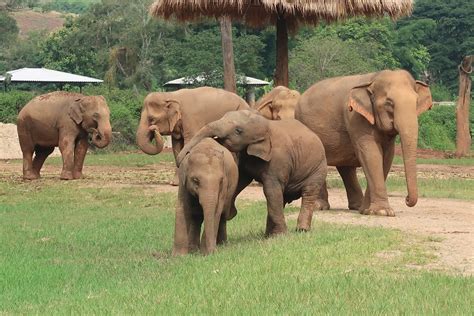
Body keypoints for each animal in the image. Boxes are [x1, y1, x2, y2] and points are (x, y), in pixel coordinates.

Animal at [176, 110, 328, 236]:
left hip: (318, 169)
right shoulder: (245, 155)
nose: (179, 161)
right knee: (282, 198)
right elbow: (241, 180)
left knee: (308, 194)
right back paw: (268, 235)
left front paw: (281, 236)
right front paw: (231, 213)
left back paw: (301, 230)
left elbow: (270, 190)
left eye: (238, 130)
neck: (267, 125)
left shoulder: (278, 159)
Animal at [296, 69, 434, 217]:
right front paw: (382, 212)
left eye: (416, 102)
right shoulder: (355, 116)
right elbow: (371, 154)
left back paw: (356, 207)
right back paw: (319, 207)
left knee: (346, 168)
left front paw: (367, 210)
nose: (407, 199)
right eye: (389, 103)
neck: (372, 79)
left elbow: (386, 157)